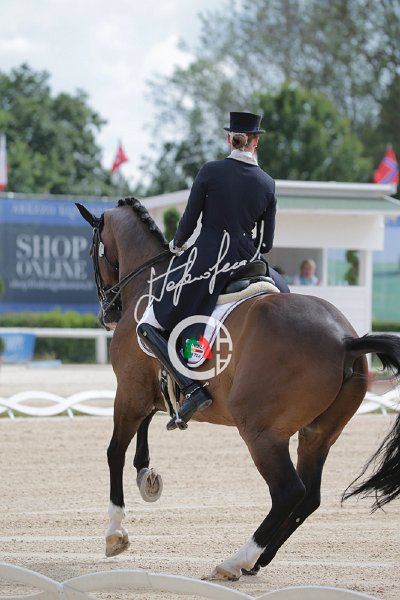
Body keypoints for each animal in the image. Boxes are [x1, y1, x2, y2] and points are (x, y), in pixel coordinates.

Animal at [76, 197, 400, 581]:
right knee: (309, 496)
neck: (149, 283)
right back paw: (258, 560)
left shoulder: (129, 391)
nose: (107, 313)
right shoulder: (146, 388)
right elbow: (147, 424)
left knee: (289, 492)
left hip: (261, 433)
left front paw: (115, 534)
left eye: (91, 251)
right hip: (318, 434)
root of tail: (345, 340)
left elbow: (114, 452)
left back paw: (235, 561)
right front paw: (146, 475)